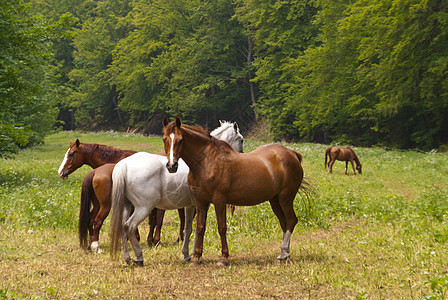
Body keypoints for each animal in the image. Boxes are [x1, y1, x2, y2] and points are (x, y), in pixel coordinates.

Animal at [110, 119, 243, 264]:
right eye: (241, 139)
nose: (240, 155)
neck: (203, 160)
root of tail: (124, 164)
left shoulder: (190, 205)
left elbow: (189, 229)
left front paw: (188, 254)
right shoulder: (200, 204)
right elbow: (196, 228)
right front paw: (195, 254)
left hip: (127, 205)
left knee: (122, 227)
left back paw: (128, 258)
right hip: (143, 208)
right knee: (129, 226)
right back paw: (139, 256)